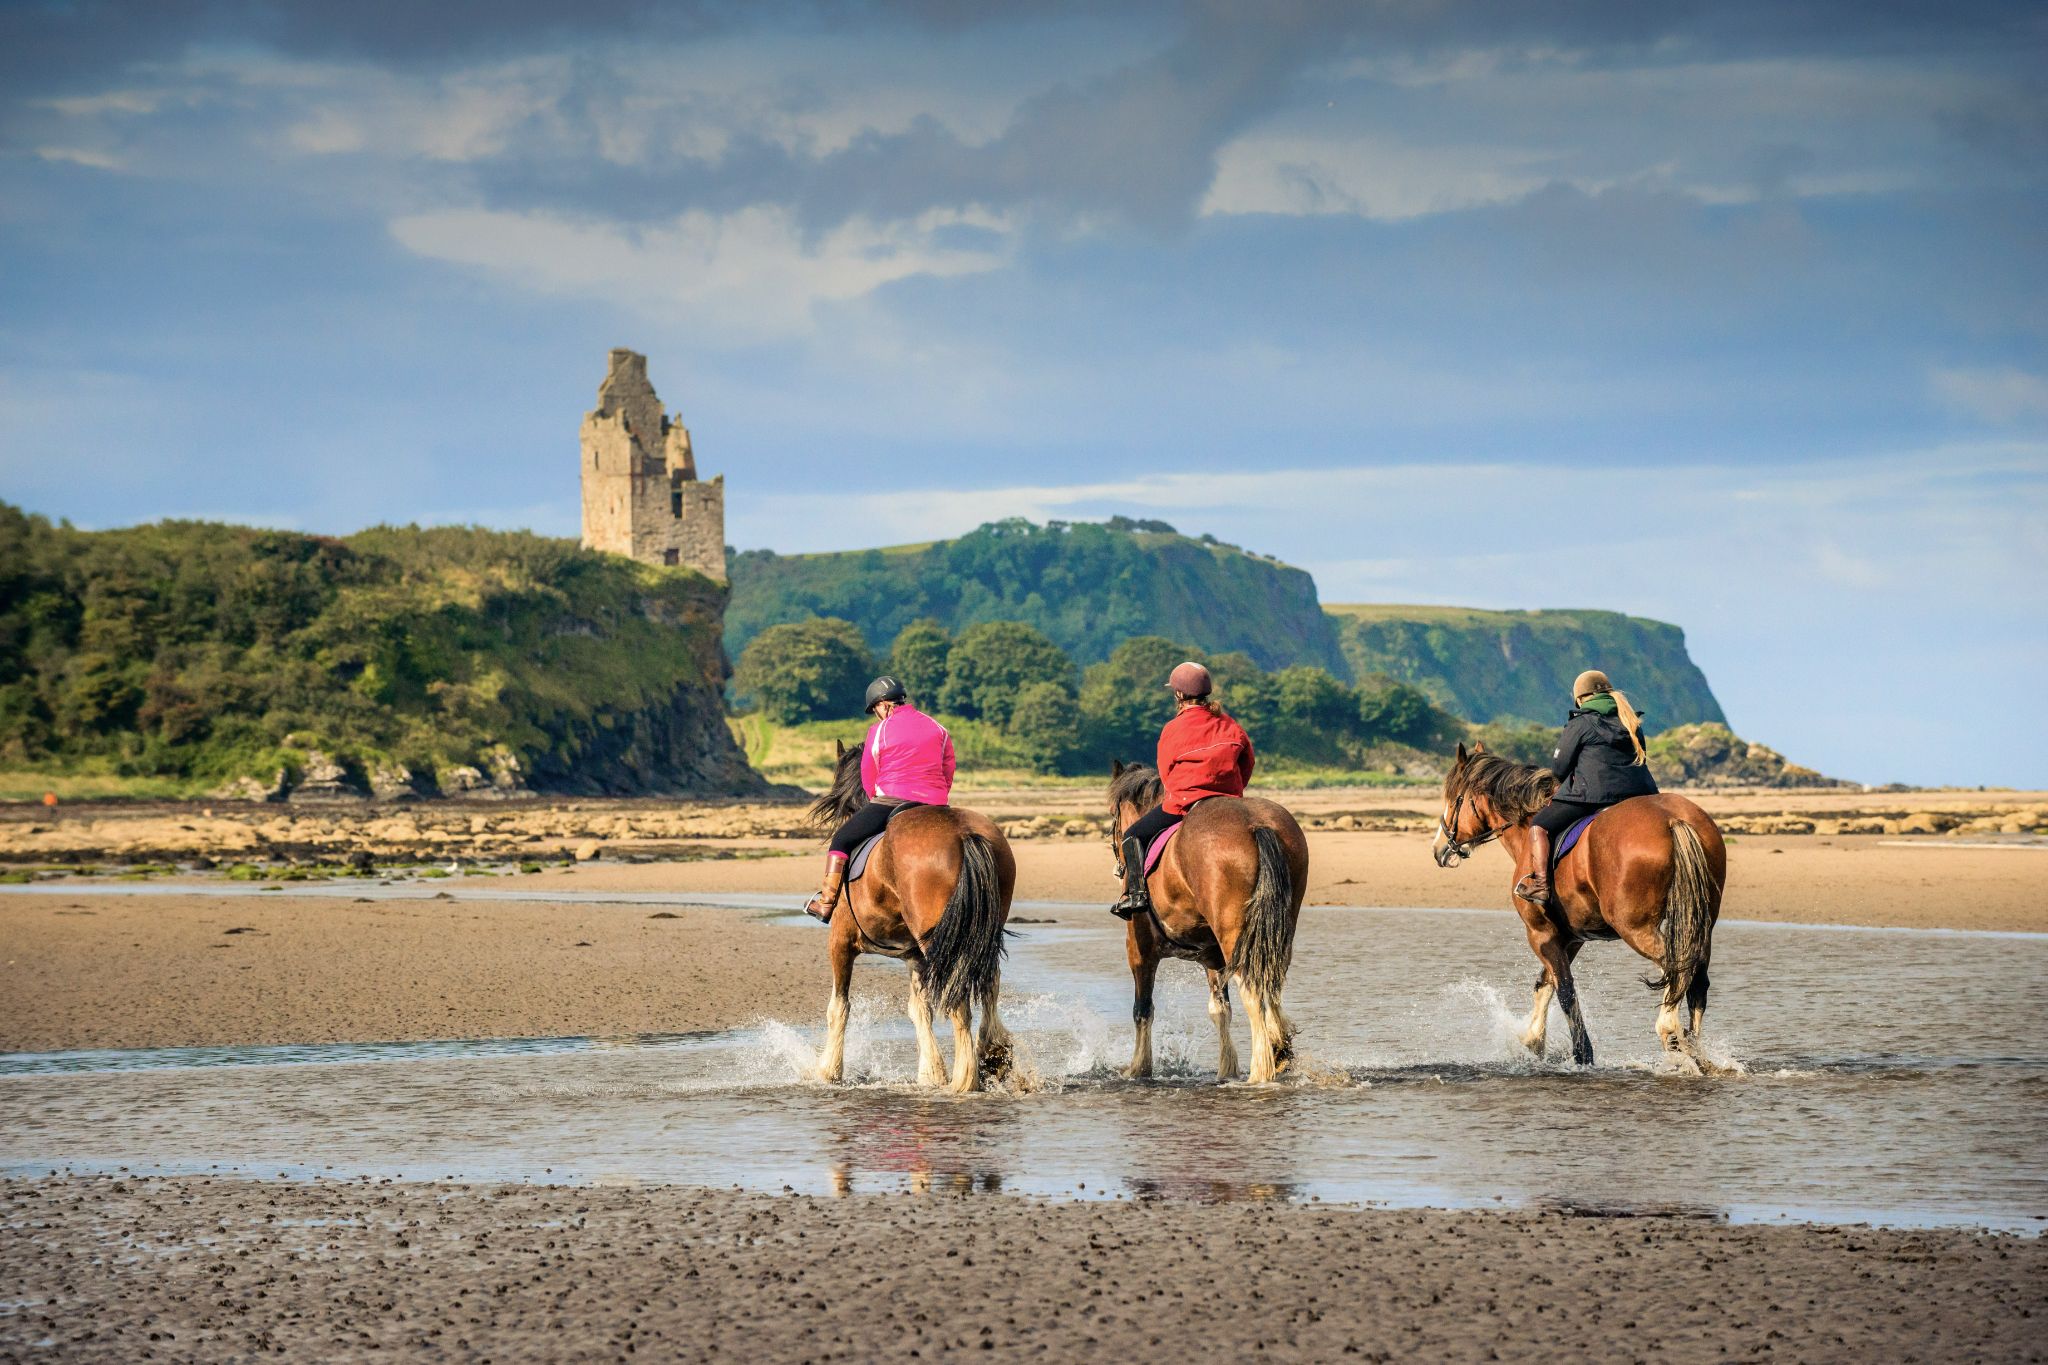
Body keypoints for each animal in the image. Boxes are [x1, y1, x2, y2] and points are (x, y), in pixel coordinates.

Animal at [806, 740, 1015, 1096]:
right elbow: (919, 1009)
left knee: (960, 999)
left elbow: (839, 1008)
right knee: (988, 985)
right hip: (980, 935)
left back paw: (965, 1078)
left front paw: (829, 1071)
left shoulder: (841, 941)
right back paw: (992, 1055)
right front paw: (931, 1072)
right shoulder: (914, 956)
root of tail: (963, 833)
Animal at [1114, 765, 1302, 1080]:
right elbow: (1220, 1010)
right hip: (1276, 934)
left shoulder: (1139, 951)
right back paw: (1279, 1050)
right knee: (1271, 982)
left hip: (1235, 939)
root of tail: (1256, 823)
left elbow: (1142, 1010)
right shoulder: (1212, 957)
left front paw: (1138, 1067)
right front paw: (1226, 1068)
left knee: (1252, 989)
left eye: (1114, 820)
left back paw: (1260, 1070)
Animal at [1433, 740, 1736, 1072]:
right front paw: (1533, 1041)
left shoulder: (1541, 933)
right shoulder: (1571, 938)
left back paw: (1670, 1031)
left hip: (1636, 929)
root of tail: (1673, 819)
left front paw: (1581, 1054)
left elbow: (1565, 991)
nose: (1439, 849)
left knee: (1677, 966)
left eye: (1454, 799)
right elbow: (1545, 984)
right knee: (1696, 980)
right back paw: (1697, 1052)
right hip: (1699, 925)